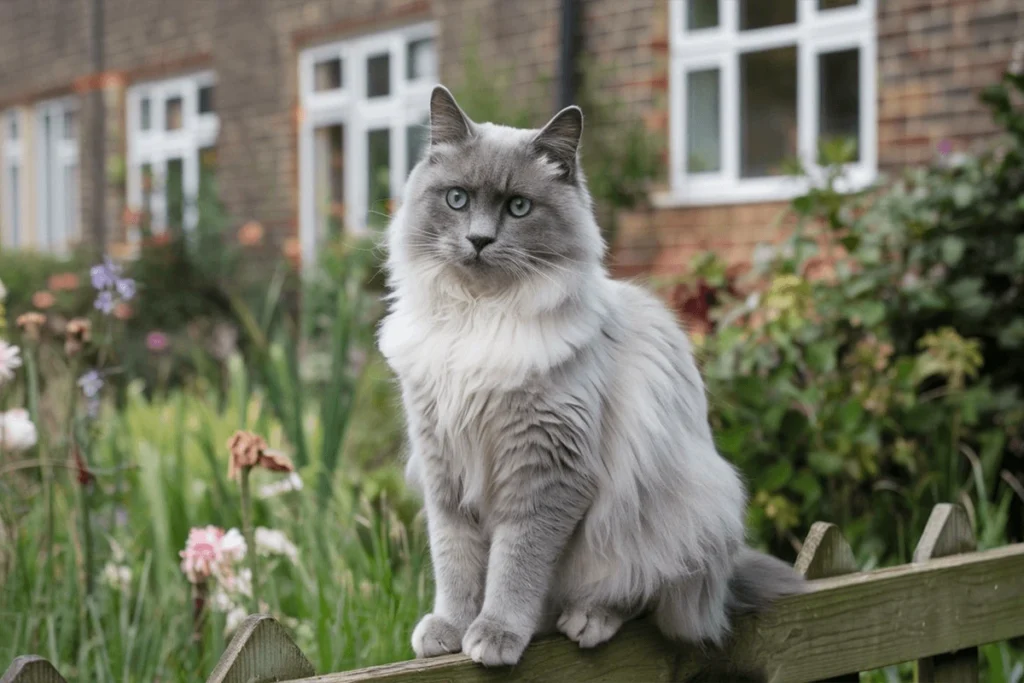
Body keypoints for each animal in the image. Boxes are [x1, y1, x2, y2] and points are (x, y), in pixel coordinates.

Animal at [378, 85, 806, 667]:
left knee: (641, 594)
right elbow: (457, 565)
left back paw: (587, 620)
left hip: (674, 512)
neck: (480, 316)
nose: (480, 240)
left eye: (518, 207)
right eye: (458, 200)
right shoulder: (444, 468)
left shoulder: (548, 473)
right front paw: (450, 631)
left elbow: (515, 567)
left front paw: (496, 635)